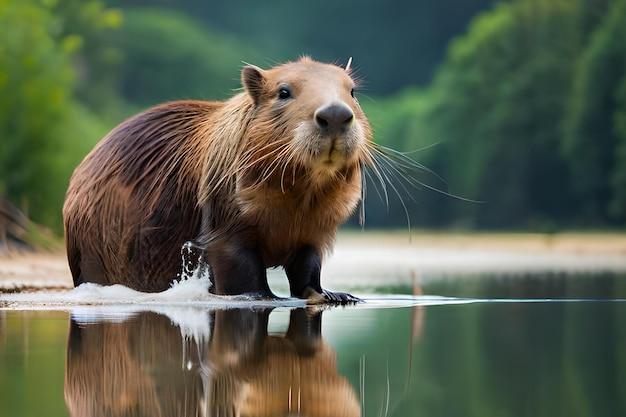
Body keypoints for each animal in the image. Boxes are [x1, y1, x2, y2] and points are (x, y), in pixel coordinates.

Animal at [63, 56, 370, 302]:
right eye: (284, 91)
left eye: (352, 90)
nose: (334, 114)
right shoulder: (224, 208)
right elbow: (235, 261)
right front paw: (264, 296)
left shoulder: (316, 226)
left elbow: (308, 263)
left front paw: (336, 295)